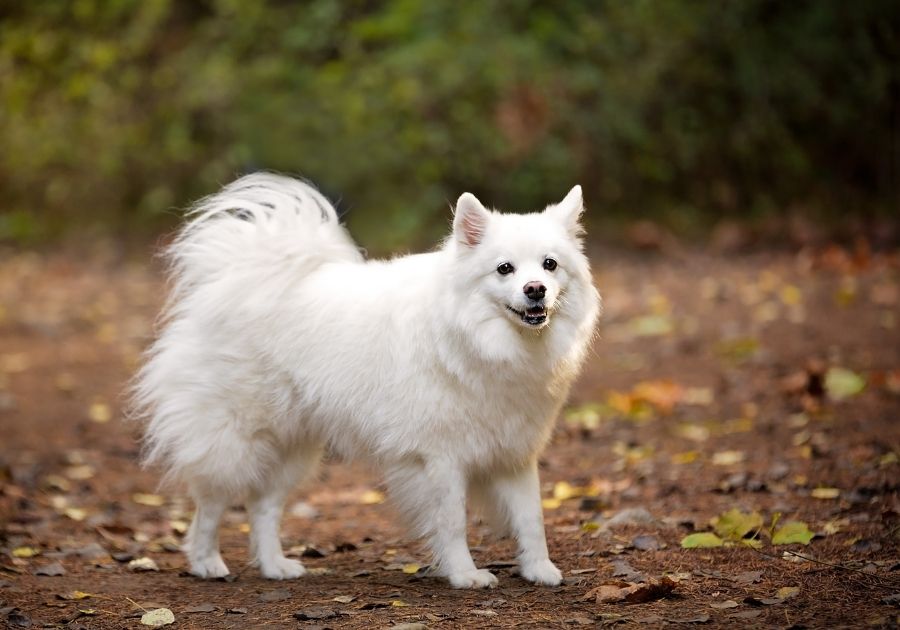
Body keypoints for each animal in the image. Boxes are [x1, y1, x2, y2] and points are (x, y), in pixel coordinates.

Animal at [132, 175, 596, 592]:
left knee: (263, 506)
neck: (480, 340)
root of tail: (235, 279)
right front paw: (465, 575)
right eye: (504, 269)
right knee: (211, 504)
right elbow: (451, 521)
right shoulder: (439, 458)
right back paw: (206, 562)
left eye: (550, 265)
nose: (535, 289)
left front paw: (540, 569)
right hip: (236, 439)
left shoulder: (516, 453)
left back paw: (275, 566)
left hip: (295, 447)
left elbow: (531, 517)